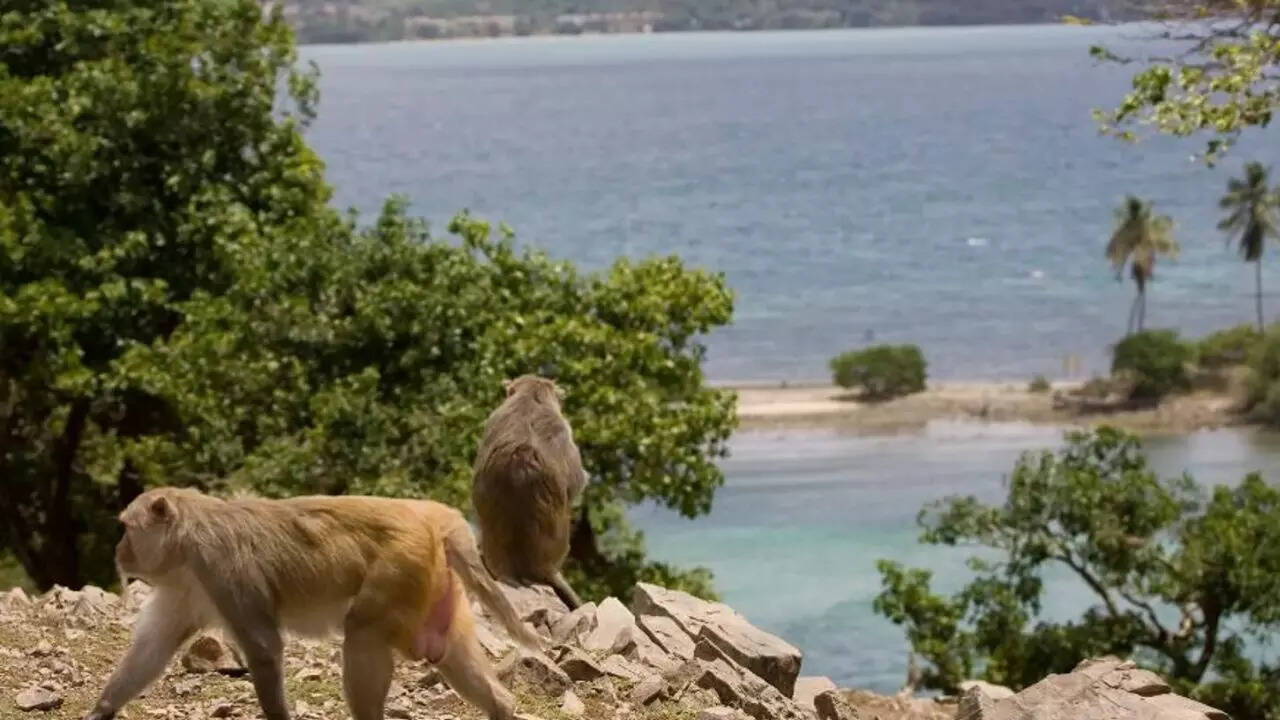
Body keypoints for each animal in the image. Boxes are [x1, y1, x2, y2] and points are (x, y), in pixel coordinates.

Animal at [84, 486, 543, 720]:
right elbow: (153, 647)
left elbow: (264, 649)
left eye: (126, 528)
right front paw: (102, 709)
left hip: (400, 571)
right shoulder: (186, 585)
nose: (119, 551)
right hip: (435, 591)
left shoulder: (222, 570)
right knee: (452, 656)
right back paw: (502, 707)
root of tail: (437, 518)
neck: (186, 537)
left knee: (362, 638)